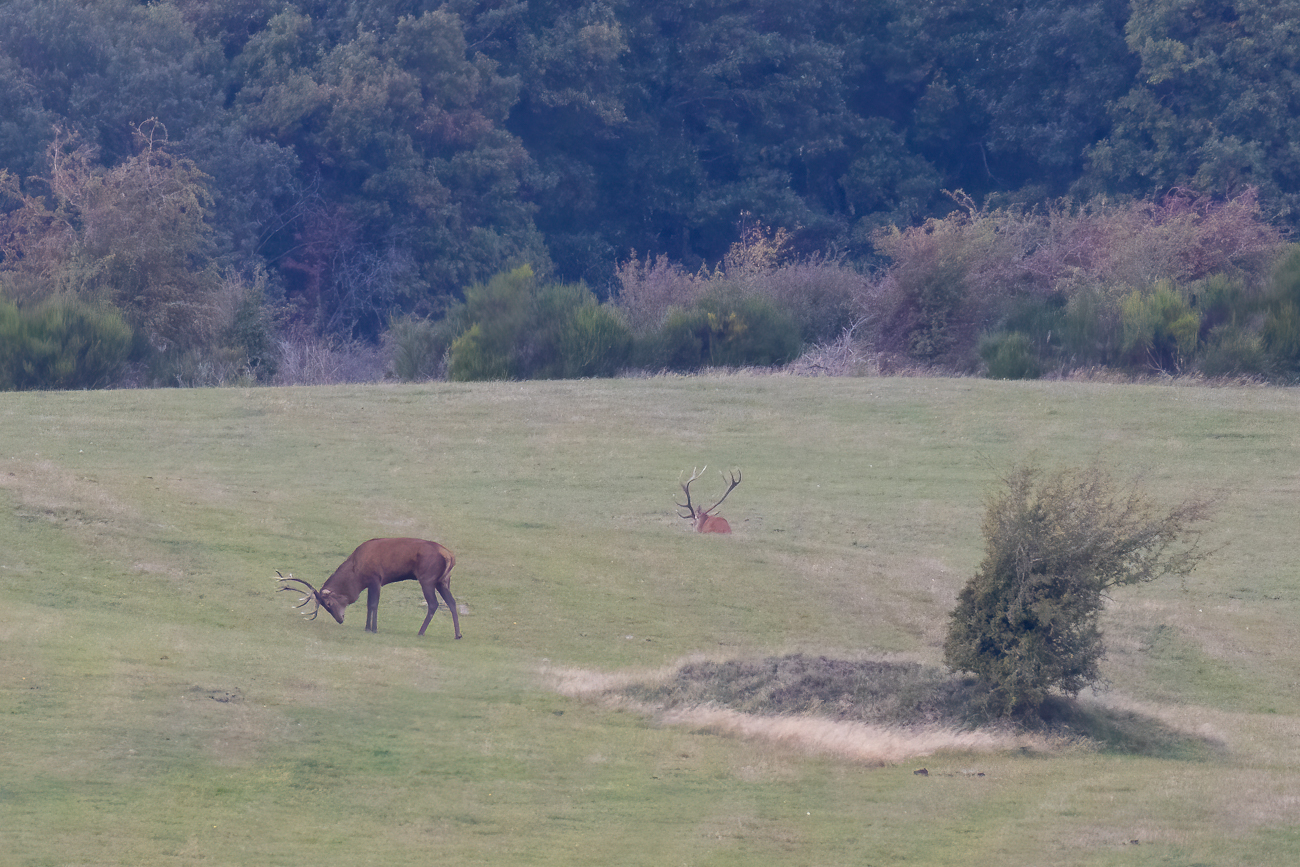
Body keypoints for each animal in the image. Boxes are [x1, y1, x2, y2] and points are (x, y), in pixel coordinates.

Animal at [277, 538, 460, 638]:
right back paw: (458, 634)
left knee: (433, 604)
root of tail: (450, 556)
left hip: (427, 578)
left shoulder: (375, 578)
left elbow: (373, 604)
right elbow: (369, 604)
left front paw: (373, 629)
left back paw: (420, 632)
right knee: (452, 602)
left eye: (328, 604)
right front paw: (367, 627)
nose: (340, 619)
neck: (356, 574)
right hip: (443, 581)